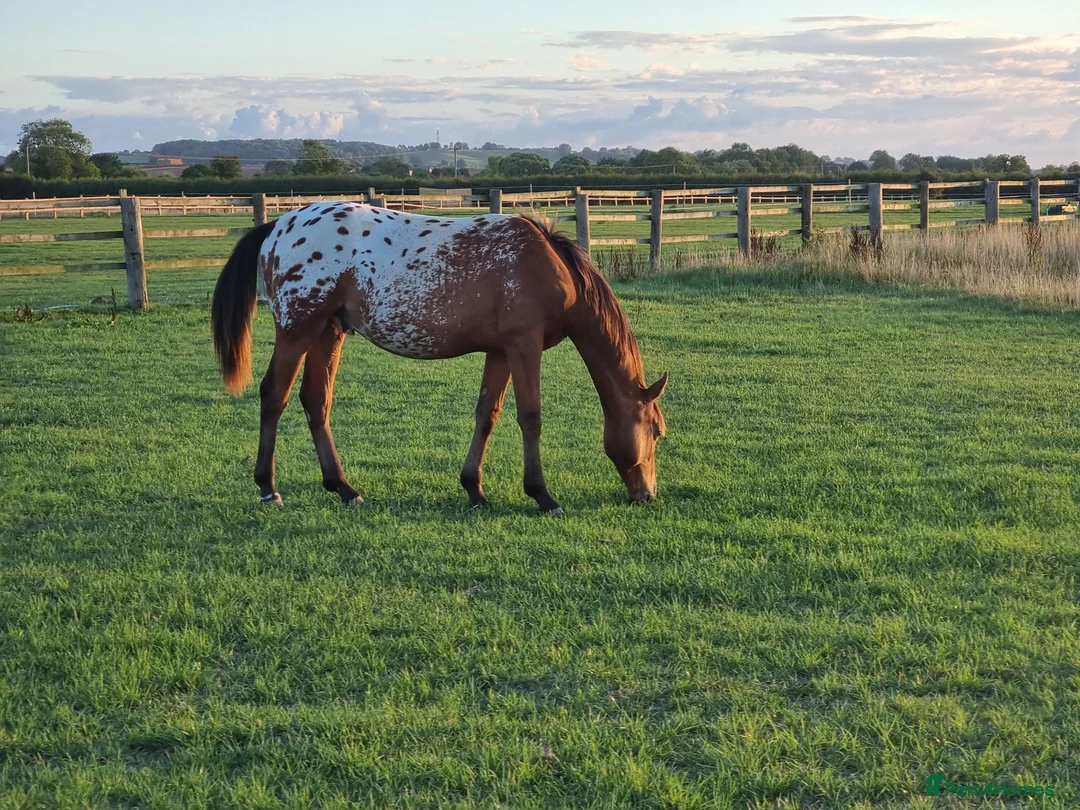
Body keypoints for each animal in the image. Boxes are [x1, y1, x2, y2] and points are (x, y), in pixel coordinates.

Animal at [210, 202, 668, 514]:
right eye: (658, 431)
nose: (646, 494)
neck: (547, 265)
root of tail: (277, 226)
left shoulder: (499, 351)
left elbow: (488, 414)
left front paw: (474, 489)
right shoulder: (524, 345)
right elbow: (530, 417)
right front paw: (542, 494)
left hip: (328, 332)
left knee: (315, 401)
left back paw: (343, 487)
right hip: (297, 332)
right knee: (274, 395)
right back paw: (268, 487)